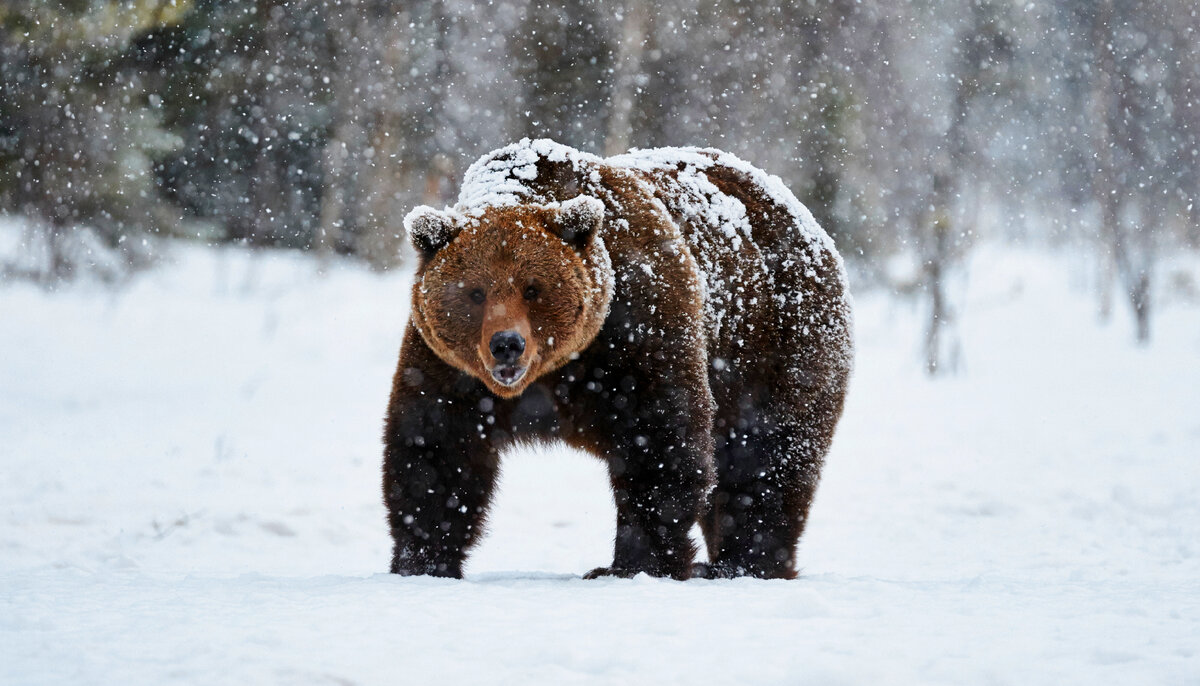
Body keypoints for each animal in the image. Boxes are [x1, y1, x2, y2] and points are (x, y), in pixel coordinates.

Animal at [379, 137, 849, 578]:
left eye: (532, 289)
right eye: (475, 293)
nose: (506, 343)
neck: (555, 371)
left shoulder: (637, 330)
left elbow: (659, 442)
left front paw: (632, 564)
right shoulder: (449, 368)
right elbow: (435, 449)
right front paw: (422, 561)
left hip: (775, 341)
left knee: (766, 458)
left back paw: (742, 564)